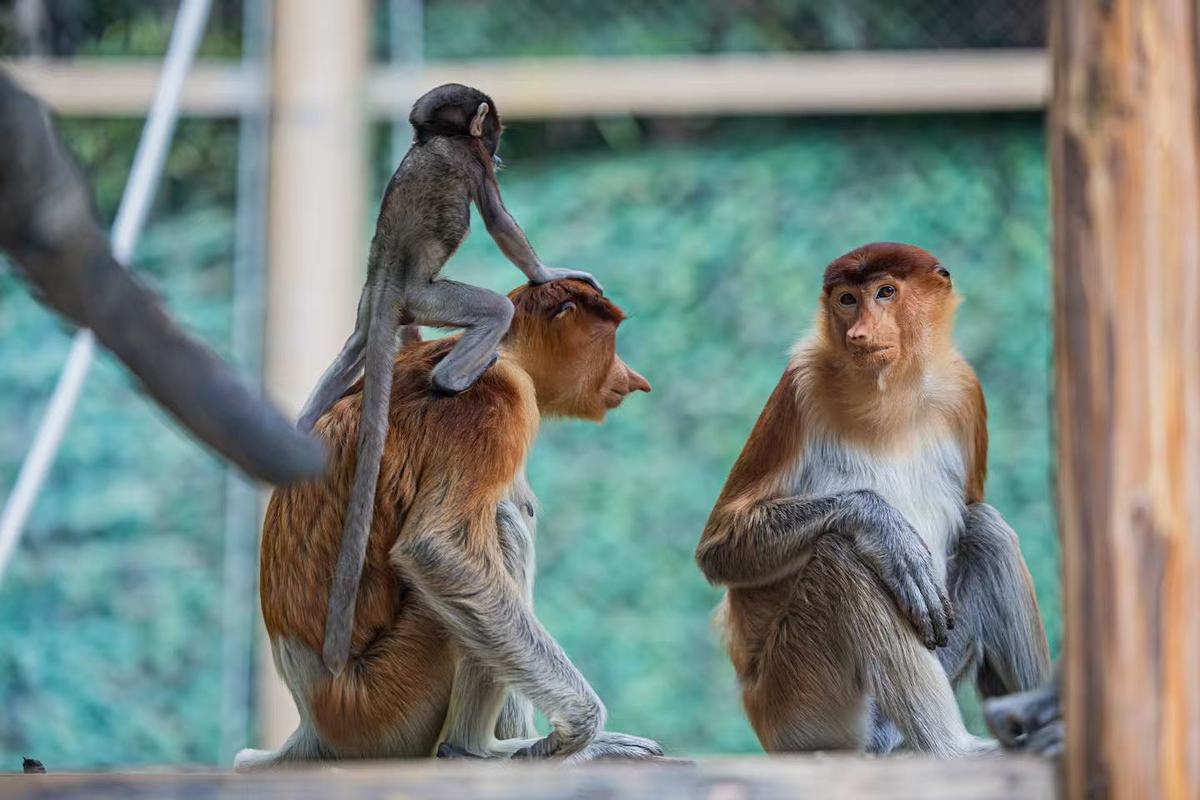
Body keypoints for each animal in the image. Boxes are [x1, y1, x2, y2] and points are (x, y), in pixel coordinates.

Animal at [696, 242, 1051, 758]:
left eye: (885, 292)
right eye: (847, 299)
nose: (860, 334)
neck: (894, 393)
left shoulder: (966, 390)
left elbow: (971, 509)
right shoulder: (799, 387)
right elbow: (719, 545)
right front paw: (885, 530)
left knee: (986, 529)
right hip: (801, 707)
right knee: (838, 556)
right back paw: (956, 748)